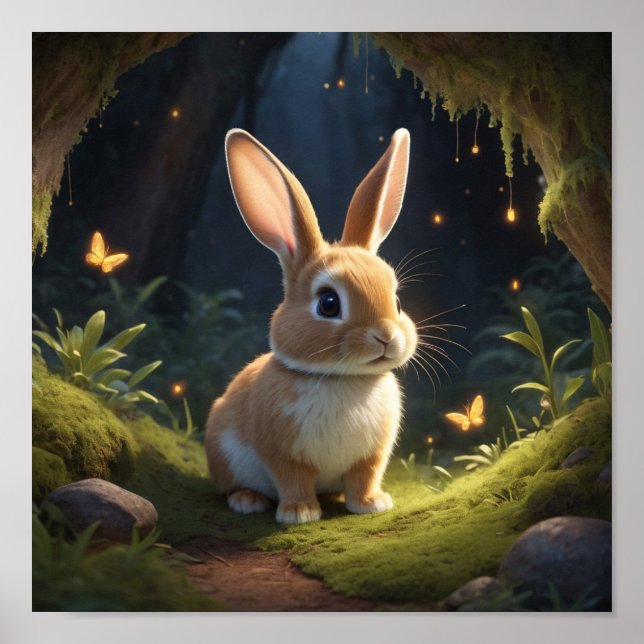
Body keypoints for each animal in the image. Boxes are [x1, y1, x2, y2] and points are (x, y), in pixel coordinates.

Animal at [205, 128, 418, 524]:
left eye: (396, 302)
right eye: (328, 303)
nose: (386, 336)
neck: (342, 380)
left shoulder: (372, 456)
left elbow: (364, 476)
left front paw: (372, 504)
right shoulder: (282, 453)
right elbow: (294, 479)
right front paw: (299, 513)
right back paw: (247, 500)